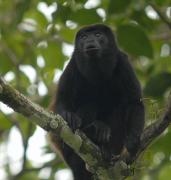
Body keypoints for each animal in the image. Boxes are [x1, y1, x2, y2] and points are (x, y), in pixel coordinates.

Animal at [50, 24, 145, 180]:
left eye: (98, 34)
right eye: (84, 37)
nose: (89, 40)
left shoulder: (123, 61)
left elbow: (134, 102)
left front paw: (133, 140)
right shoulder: (73, 64)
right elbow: (62, 99)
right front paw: (69, 116)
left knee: (119, 108)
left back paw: (105, 146)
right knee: (90, 105)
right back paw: (92, 130)